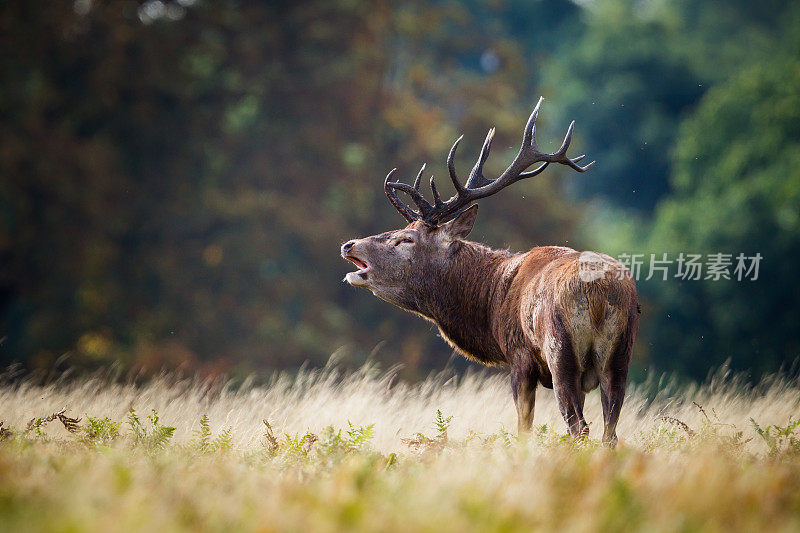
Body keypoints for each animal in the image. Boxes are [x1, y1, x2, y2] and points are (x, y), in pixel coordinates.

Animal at [340, 96, 640, 444]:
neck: (491, 300)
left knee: (578, 427)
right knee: (610, 432)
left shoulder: (519, 357)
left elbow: (523, 427)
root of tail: (598, 291)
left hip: (560, 350)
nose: (349, 245)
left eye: (406, 239)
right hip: (620, 355)